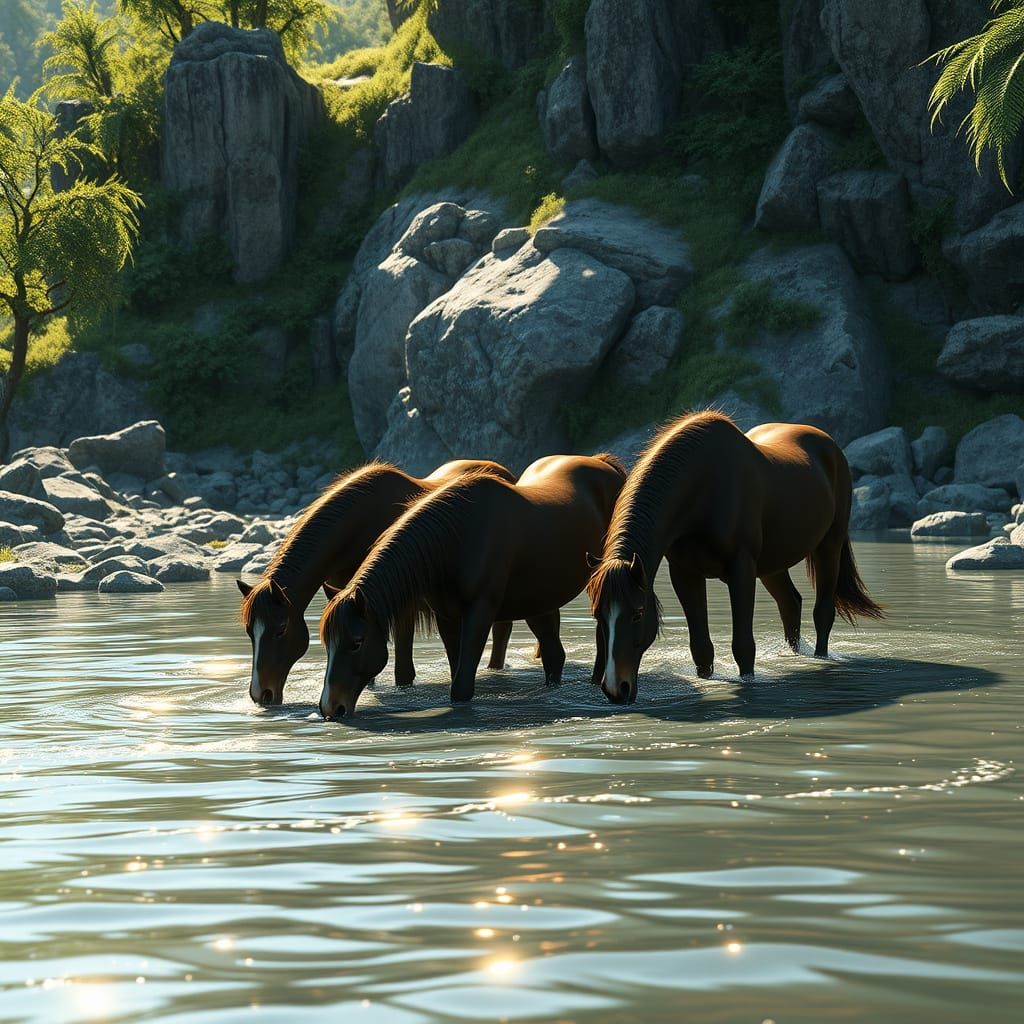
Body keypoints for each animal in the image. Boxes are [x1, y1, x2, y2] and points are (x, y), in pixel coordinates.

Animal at [237, 459, 516, 706]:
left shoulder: (400, 606)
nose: (261, 694)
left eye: (281, 629)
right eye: (250, 631)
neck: (361, 524)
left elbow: (403, 670)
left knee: (501, 633)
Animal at [318, 453, 627, 719]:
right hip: (537, 602)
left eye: (357, 643)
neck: (457, 538)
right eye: (327, 644)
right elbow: (457, 670)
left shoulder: (480, 612)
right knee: (554, 656)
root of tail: (603, 463)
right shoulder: (446, 616)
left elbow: (463, 685)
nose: (331, 708)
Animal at [586, 411, 883, 704]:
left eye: (637, 613)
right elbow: (701, 648)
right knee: (790, 604)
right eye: (598, 615)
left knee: (822, 613)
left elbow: (743, 646)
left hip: (829, 546)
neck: (702, 487)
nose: (616, 689)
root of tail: (830, 446)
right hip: (772, 565)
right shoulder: (685, 574)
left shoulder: (741, 569)